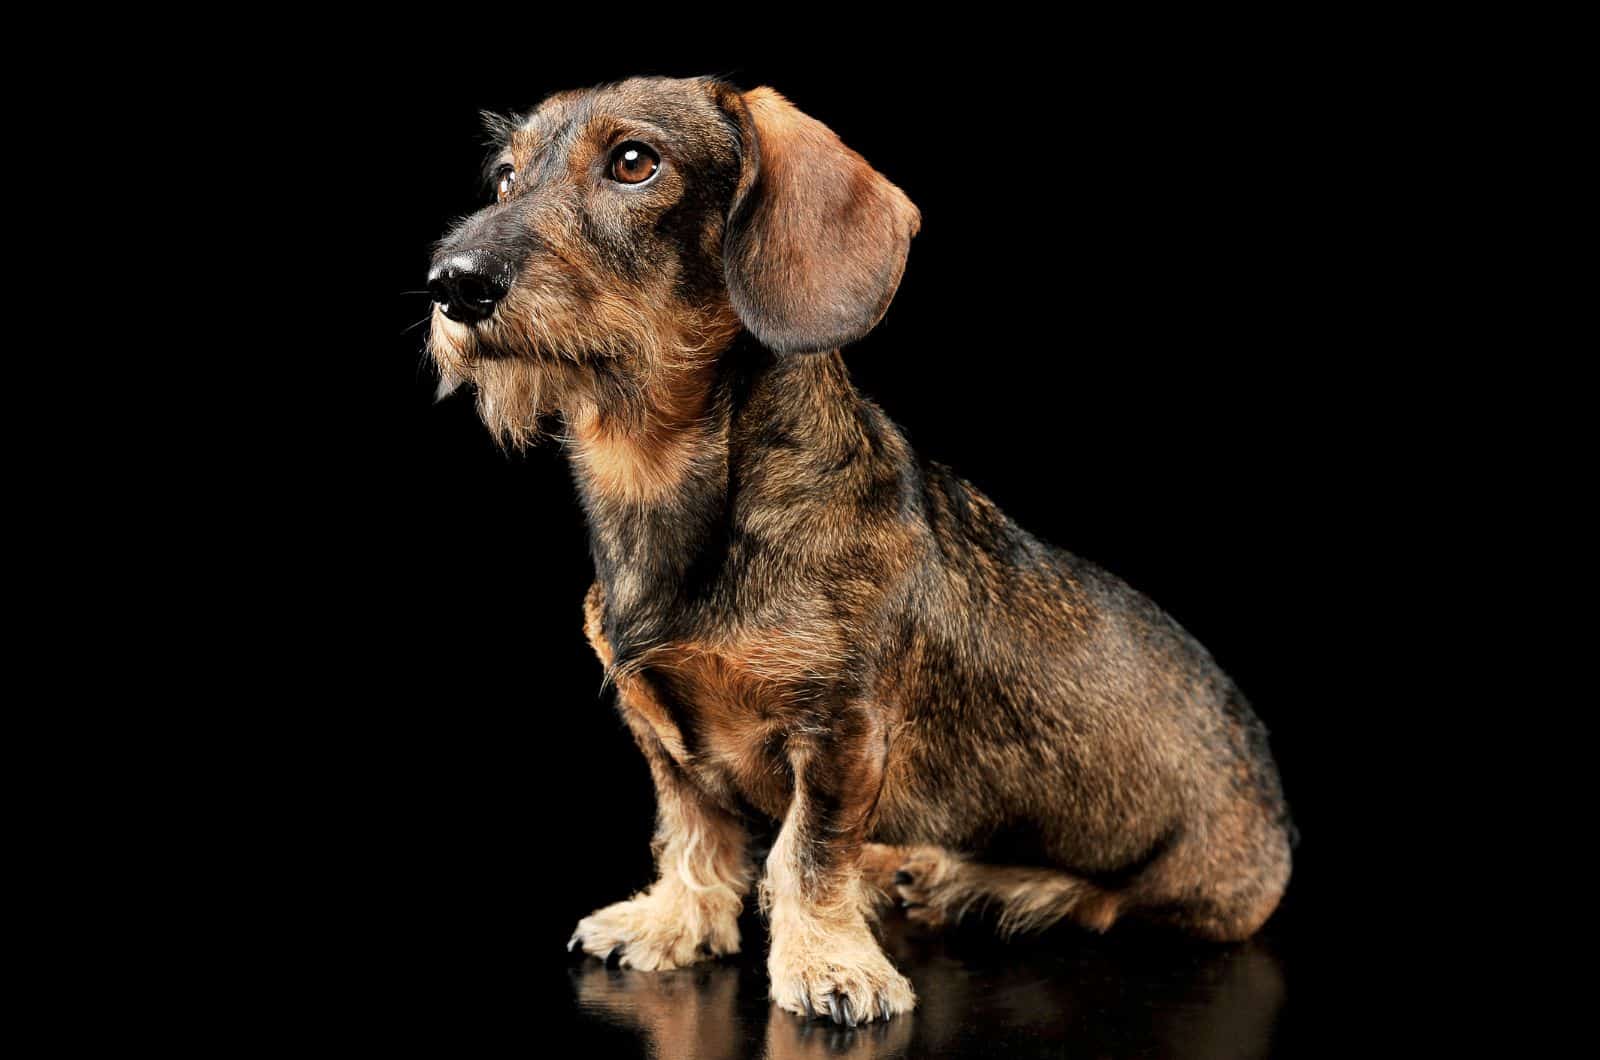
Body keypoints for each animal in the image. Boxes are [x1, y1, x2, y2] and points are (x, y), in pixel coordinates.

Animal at [428, 76, 1299, 1031]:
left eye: (633, 162)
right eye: (505, 178)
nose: (452, 282)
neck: (670, 492)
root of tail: (1276, 803)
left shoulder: (841, 731)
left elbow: (807, 853)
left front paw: (828, 962)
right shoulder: (658, 731)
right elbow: (692, 832)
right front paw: (674, 921)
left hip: (1182, 894)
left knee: (1100, 904)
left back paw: (973, 883)